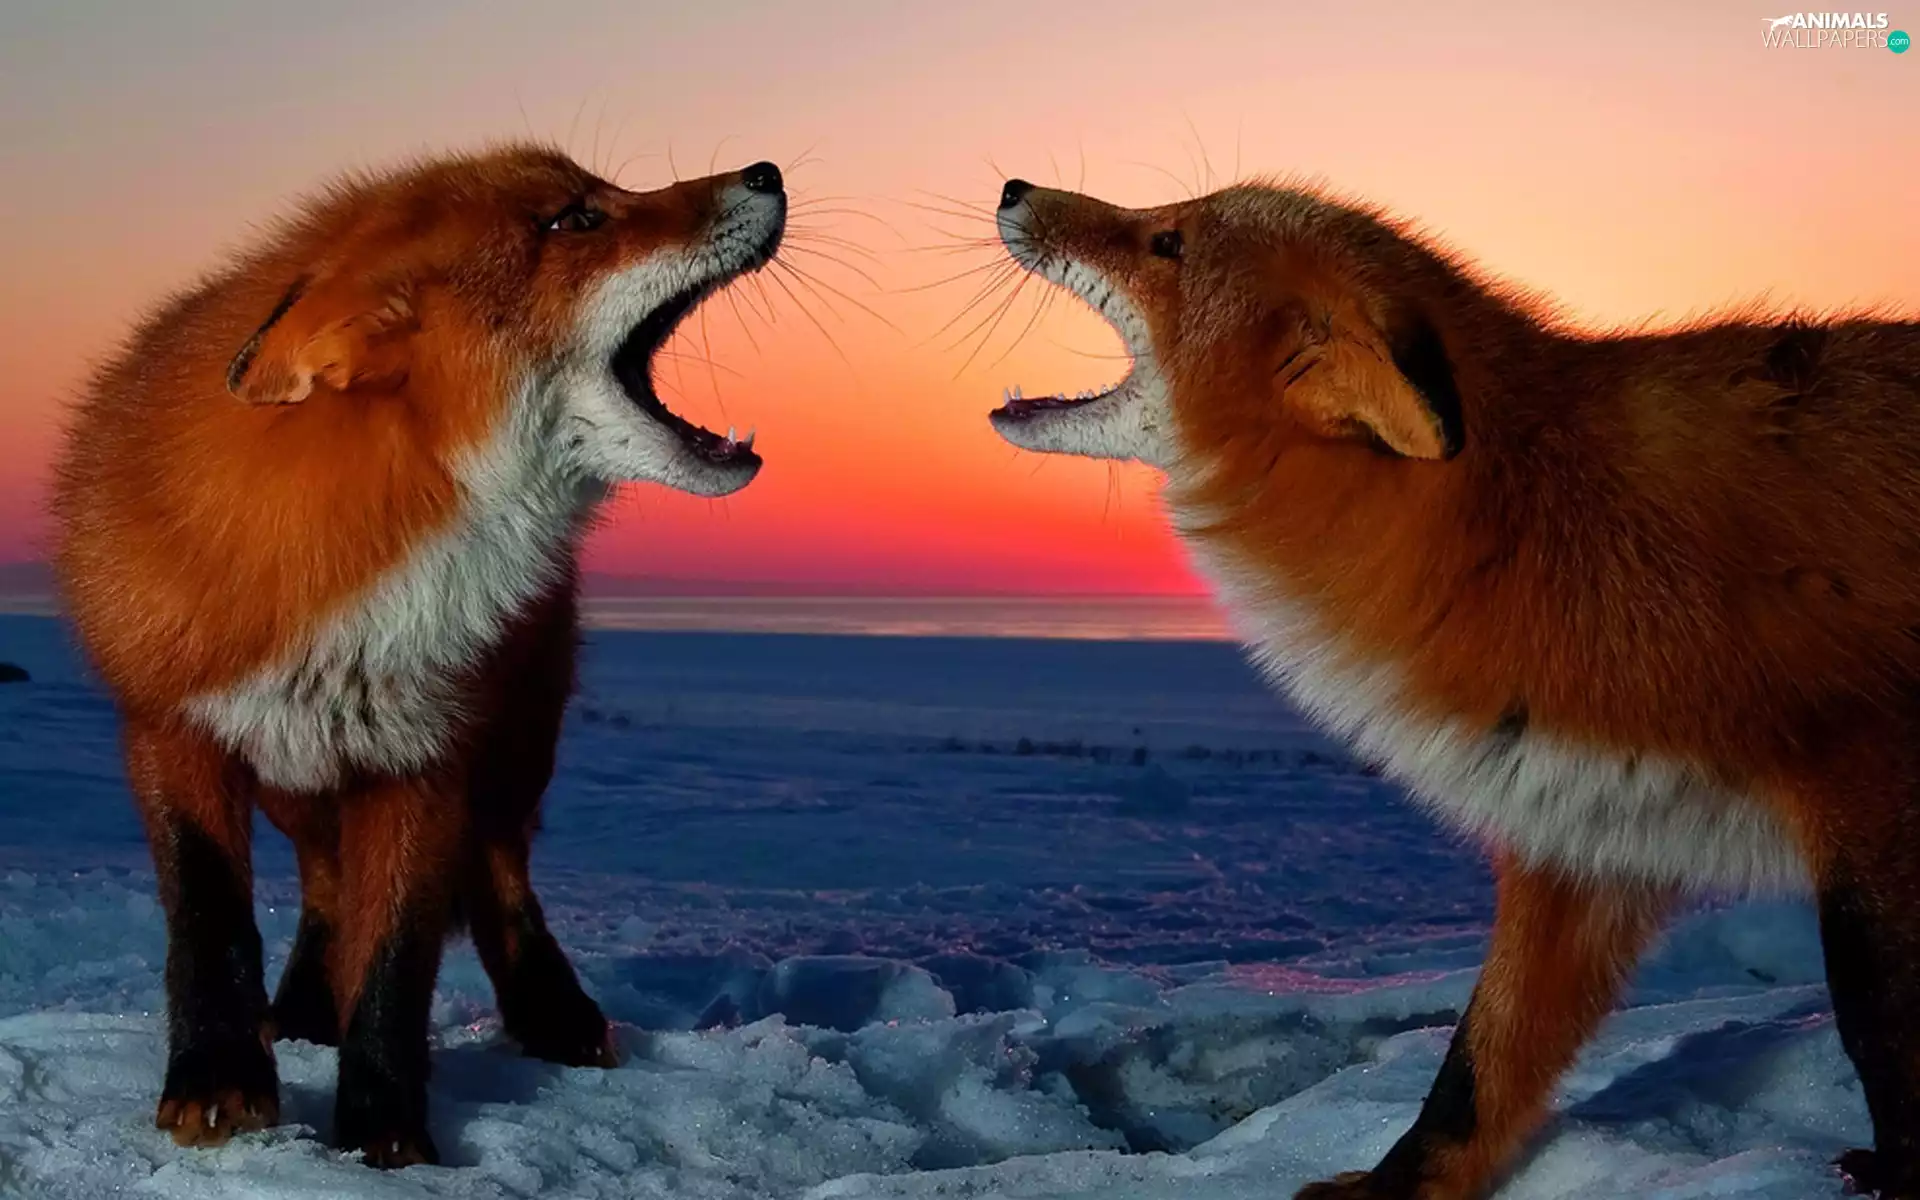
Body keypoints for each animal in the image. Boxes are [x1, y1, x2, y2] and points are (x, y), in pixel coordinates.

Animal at [49, 143, 787, 1167]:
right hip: (298, 776)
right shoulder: (171, 730)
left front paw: (382, 1133)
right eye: (575, 220)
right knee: (326, 884)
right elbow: (209, 922)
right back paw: (305, 1010)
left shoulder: (426, 752)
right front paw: (218, 1081)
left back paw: (553, 1015)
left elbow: (397, 957)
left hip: (512, 749)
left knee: (500, 875)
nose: (767, 171)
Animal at [985, 176, 1920, 1199]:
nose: (1013, 188)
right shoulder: (1585, 829)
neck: (1535, 535)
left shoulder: (1870, 789)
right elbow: (1478, 1066)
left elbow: (1881, 1028)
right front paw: (1392, 1188)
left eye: (1168, 241)